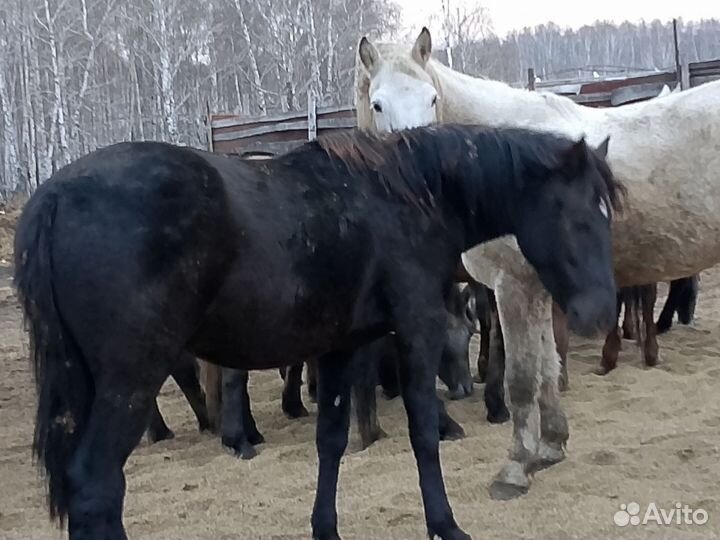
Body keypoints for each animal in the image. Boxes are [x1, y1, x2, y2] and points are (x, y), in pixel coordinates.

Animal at [15, 125, 620, 540]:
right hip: (130, 380)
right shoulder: (417, 330)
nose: (598, 313)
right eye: (578, 217)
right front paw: (445, 524)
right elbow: (424, 433)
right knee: (97, 485)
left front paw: (325, 527)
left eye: (607, 214)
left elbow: (330, 440)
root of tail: (54, 195)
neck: (407, 195)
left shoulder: (338, 347)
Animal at [355, 27, 720, 500]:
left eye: (432, 98)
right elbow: (548, 368)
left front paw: (514, 468)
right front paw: (550, 447)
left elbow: (522, 378)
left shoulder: (512, 285)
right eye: (378, 104)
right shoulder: (536, 289)